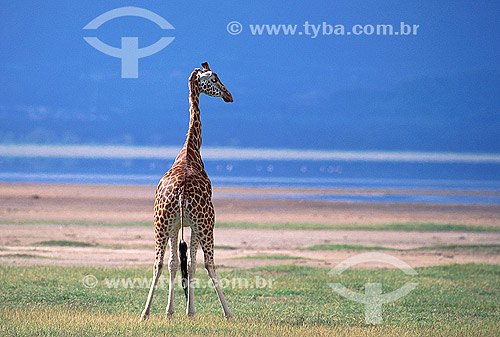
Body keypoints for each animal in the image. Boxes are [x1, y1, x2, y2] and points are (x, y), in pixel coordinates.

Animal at [141, 61, 234, 318]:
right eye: (214, 78)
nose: (229, 95)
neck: (190, 150)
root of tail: (181, 191)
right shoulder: (193, 224)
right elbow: (192, 264)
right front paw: (189, 311)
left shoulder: (175, 225)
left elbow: (174, 263)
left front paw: (171, 311)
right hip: (206, 222)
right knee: (210, 263)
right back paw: (229, 313)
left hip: (160, 223)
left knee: (158, 263)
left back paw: (145, 313)